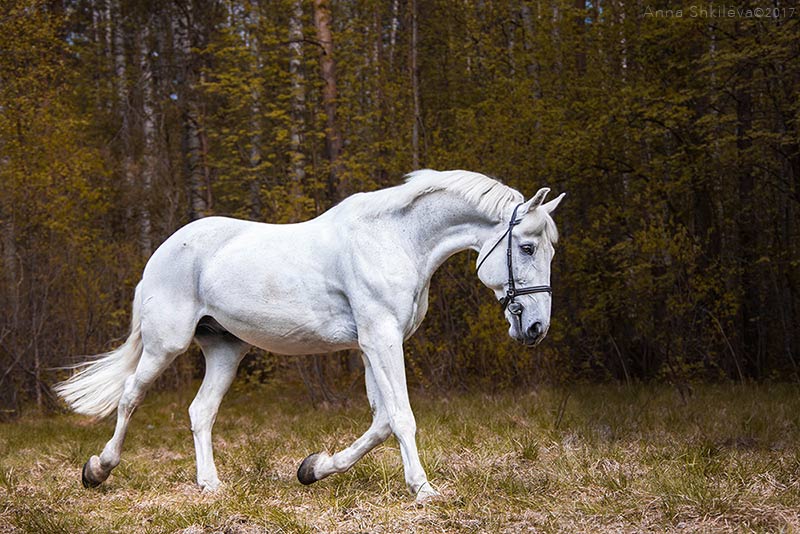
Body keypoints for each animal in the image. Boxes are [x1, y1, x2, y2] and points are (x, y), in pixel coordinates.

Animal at [54, 170, 564, 504]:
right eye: (527, 247)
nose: (535, 328)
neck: (396, 240)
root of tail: (160, 254)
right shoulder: (381, 340)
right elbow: (401, 417)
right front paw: (424, 491)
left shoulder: (372, 346)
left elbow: (381, 422)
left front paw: (313, 469)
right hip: (166, 344)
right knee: (130, 397)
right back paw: (97, 470)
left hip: (225, 348)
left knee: (200, 411)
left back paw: (210, 485)